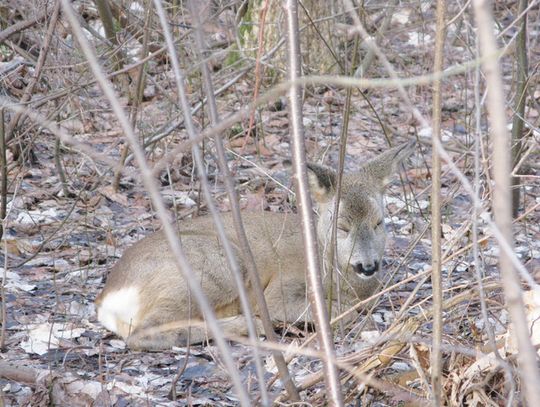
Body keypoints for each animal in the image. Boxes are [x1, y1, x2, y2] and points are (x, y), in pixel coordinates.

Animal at [95, 141, 416, 350]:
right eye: (342, 227)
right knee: (142, 334)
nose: (368, 265)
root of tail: (107, 299)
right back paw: (254, 325)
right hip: (214, 266)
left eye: (379, 222)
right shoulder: (281, 288)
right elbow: (341, 311)